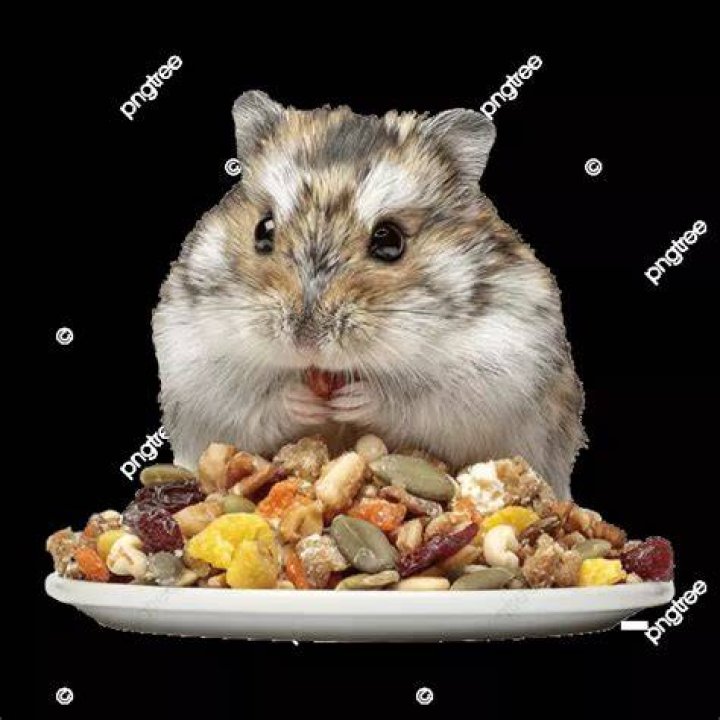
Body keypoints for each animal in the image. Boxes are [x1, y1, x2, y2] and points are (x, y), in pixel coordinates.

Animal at [153, 91, 585, 498]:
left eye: (390, 241)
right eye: (263, 229)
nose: (306, 342)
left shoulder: (494, 368)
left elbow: (408, 398)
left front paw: (354, 400)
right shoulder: (197, 364)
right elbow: (260, 399)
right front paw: (305, 401)